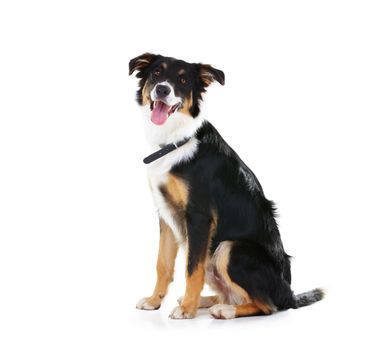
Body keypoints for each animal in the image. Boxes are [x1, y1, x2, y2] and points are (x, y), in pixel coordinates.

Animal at [129, 52, 324, 320]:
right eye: (156, 73)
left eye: (182, 80)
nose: (162, 89)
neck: (175, 141)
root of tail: (290, 295)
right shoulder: (165, 213)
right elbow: (163, 263)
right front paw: (154, 301)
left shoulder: (199, 216)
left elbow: (192, 268)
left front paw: (186, 310)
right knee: (231, 293)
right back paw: (207, 301)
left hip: (229, 248)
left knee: (268, 306)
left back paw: (224, 310)